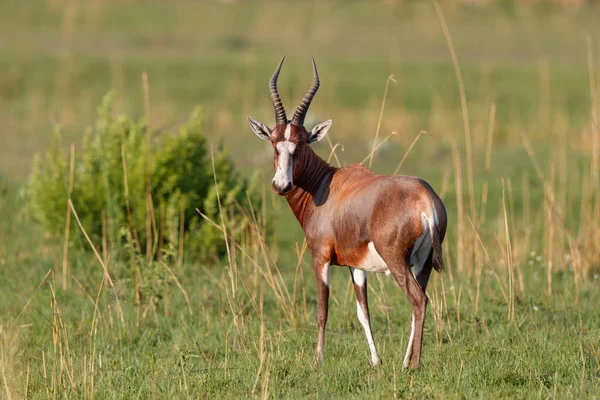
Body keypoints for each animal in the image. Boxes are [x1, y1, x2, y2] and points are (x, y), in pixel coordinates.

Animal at [246, 57, 448, 368]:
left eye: (301, 143)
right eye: (273, 143)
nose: (281, 185)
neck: (326, 184)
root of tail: (425, 199)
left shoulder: (320, 259)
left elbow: (322, 312)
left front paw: (317, 361)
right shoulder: (357, 266)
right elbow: (363, 312)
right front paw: (376, 361)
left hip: (398, 262)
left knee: (418, 300)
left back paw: (412, 366)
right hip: (423, 264)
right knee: (421, 300)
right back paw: (405, 361)